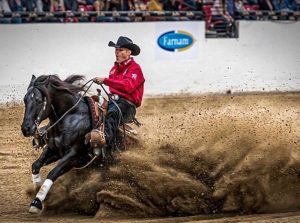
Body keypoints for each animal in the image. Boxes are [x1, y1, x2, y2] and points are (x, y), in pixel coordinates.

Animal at [21, 74, 111, 213]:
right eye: (25, 100)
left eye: (39, 100)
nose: (26, 128)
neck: (70, 117)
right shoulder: (53, 150)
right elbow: (35, 165)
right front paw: (37, 190)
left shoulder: (74, 156)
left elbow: (53, 172)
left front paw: (37, 202)